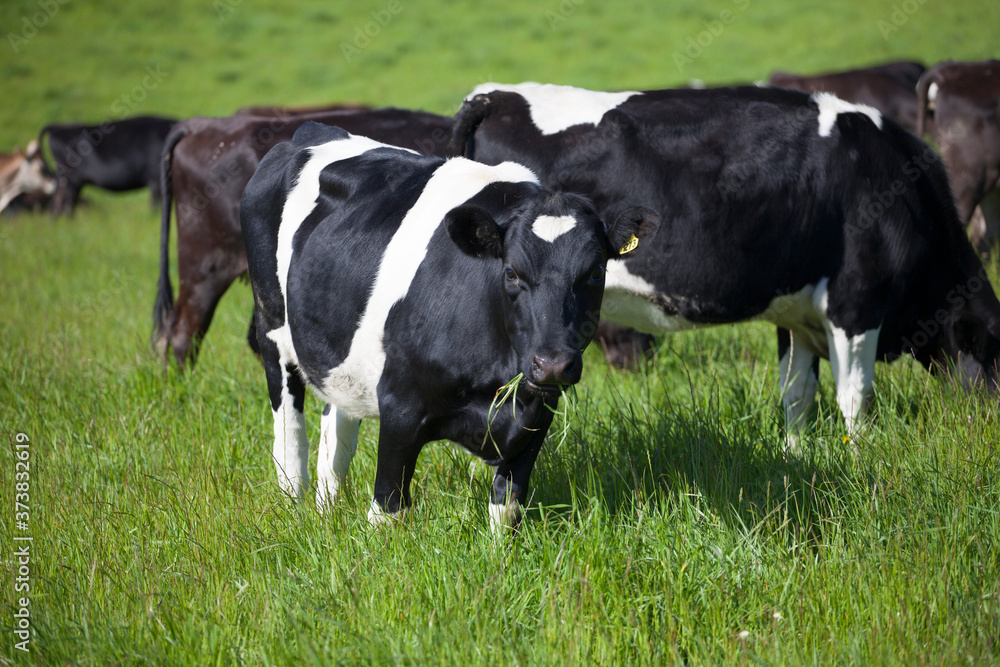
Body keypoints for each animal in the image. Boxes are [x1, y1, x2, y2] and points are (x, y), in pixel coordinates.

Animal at [450, 83, 1000, 444]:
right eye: (996, 352)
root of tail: (495, 97)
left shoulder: (797, 312)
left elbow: (797, 395)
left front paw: (797, 454)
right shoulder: (857, 302)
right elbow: (855, 399)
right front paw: (862, 460)